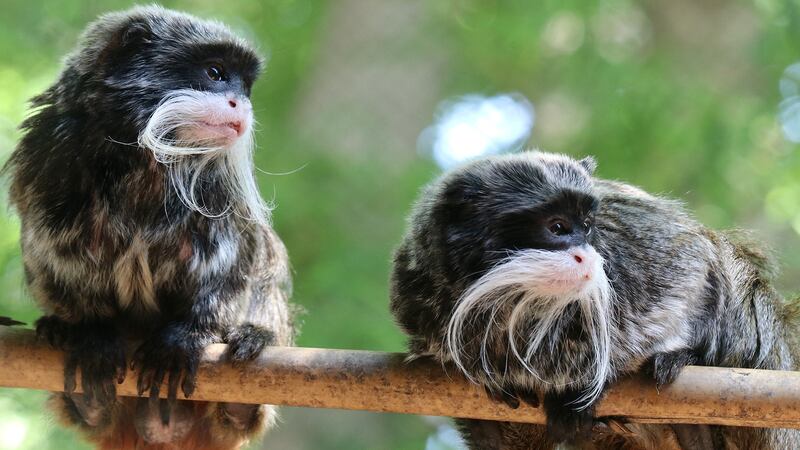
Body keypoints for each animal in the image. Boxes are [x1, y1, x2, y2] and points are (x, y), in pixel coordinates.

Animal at [3, 6, 294, 450]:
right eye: (215, 72)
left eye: (245, 87)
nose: (240, 104)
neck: (141, 155)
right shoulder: (47, 155)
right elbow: (50, 252)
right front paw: (90, 332)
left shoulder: (221, 187)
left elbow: (240, 260)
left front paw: (187, 335)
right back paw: (82, 389)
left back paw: (246, 369)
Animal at [390, 151, 800, 449]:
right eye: (557, 228)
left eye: (587, 226)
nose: (587, 256)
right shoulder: (418, 297)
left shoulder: (631, 246)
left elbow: (689, 260)